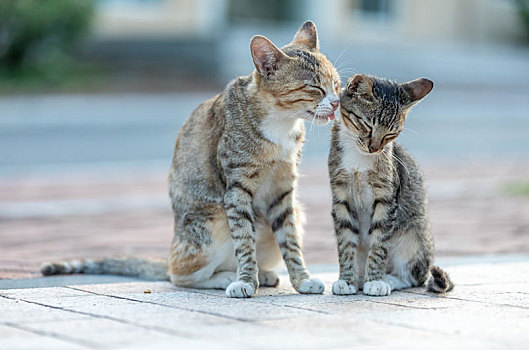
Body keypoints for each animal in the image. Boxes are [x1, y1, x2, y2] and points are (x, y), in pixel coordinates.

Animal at [40, 20, 338, 298]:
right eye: (314, 87)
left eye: (335, 83)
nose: (336, 102)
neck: (281, 125)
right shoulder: (236, 190)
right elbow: (244, 240)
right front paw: (244, 280)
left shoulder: (284, 191)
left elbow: (290, 241)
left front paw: (301, 279)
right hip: (212, 220)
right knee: (179, 274)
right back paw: (226, 277)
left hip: (295, 211)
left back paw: (261, 274)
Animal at [328, 74, 452, 296]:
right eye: (367, 125)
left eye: (390, 134)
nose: (374, 148)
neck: (358, 157)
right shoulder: (341, 197)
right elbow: (345, 242)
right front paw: (347, 279)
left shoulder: (386, 199)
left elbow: (379, 244)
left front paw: (376, 280)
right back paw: (360, 279)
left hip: (413, 235)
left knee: (413, 277)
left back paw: (388, 279)